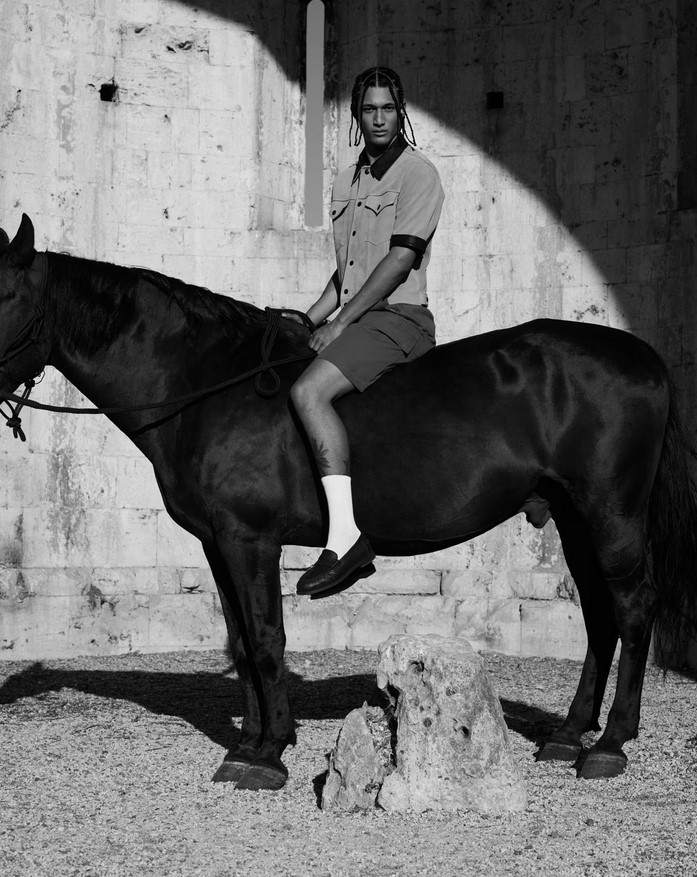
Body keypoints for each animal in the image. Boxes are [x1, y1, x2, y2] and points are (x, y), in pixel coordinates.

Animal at [1, 214, 696, 790]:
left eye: (6, 296)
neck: (207, 385)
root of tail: (642, 354)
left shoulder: (249, 539)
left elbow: (265, 638)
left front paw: (268, 754)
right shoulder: (218, 544)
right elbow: (240, 642)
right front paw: (250, 742)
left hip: (610, 516)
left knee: (633, 609)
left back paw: (609, 744)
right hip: (575, 520)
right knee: (601, 617)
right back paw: (570, 734)